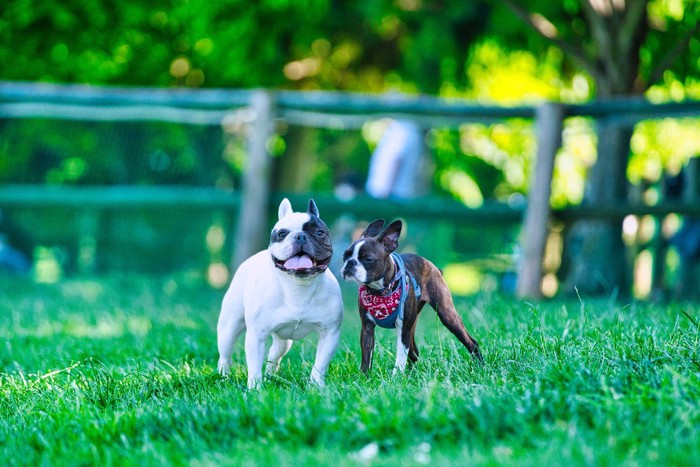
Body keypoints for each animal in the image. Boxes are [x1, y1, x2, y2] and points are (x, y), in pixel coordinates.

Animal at [216, 199, 342, 390]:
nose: (300, 236)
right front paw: (255, 388)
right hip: (229, 326)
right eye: (282, 234)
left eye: (319, 233)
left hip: (283, 339)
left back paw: (271, 376)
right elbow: (254, 366)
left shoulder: (329, 334)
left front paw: (316, 386)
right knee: (225, 354)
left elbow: (320, 365)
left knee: (275, 353)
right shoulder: (257, 335)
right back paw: (224, 375)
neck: (298, 287)